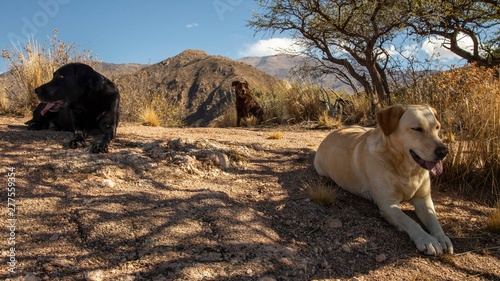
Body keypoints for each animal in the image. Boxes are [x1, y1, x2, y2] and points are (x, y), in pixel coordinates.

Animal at [316, 104, 454, 255]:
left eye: (437, 127)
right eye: (417, 129)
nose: (443, 151)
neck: (406, 170)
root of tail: (330, 134)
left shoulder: (423, 198)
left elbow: (433, 219)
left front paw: (442, 237)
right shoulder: (388, 205)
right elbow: (410, 221)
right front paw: (427, 239)